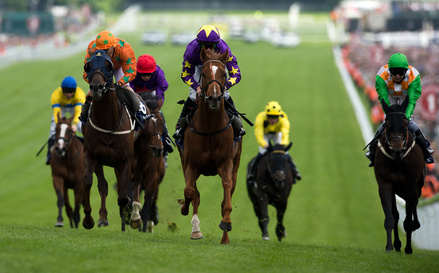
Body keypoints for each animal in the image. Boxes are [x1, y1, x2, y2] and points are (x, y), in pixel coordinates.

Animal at [84, 47, 153, 230]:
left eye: (108, 65)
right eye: (88, 65)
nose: (96, 87)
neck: (108, 121)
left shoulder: (125, 159)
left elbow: (123, 196)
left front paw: (131, 216)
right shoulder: (92, 154)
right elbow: (90, 182)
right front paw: (90, 218)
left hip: (143, 151)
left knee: (136, 181)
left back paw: (135, 215)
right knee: (104, 185)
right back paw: (103, 217)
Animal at [176, 47, 244, 243]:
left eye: (224, 74)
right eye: (204, 74)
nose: (214, 98)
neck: (210, 128)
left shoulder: (226, 164)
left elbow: (226, 194)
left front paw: (226, 223)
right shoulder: (191, 164)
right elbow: (190, 192)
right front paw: (185, 209)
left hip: (236, 165)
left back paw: (224, 238)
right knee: (194, 193)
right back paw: (195, 229)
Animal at [374, 98, 426, 253]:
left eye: (405, 123)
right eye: (387, 124)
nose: (397, 150)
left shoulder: (412, 187)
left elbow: (408, 219)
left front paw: (408, 248)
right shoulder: (385, 184)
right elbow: (391, 217)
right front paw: (390, 246)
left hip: (418, 187)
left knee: (414, 205)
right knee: (396, 214)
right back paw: (397, 245)